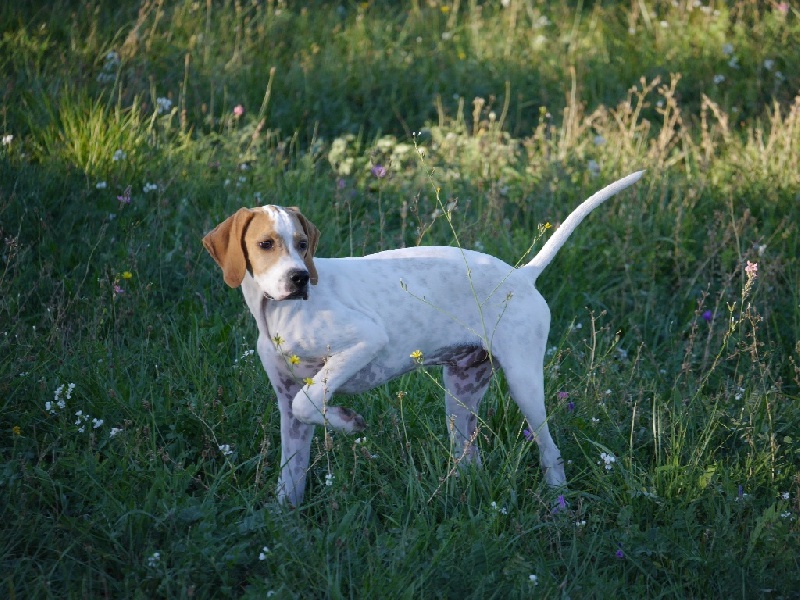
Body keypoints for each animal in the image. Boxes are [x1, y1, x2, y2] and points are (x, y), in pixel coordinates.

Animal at [205, 171, 644, 504]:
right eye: (266, 244)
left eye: (301, 245)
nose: (299, 279)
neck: (276, 312)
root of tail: (522, 275)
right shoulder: (286, 403)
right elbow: (291, 471)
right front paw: (285, 523)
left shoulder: (365, 341)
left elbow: (309, 400)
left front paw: (346, 421)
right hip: (461, 394)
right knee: (469, 458)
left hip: (525, 386)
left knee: (551, 452)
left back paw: (558, 503)